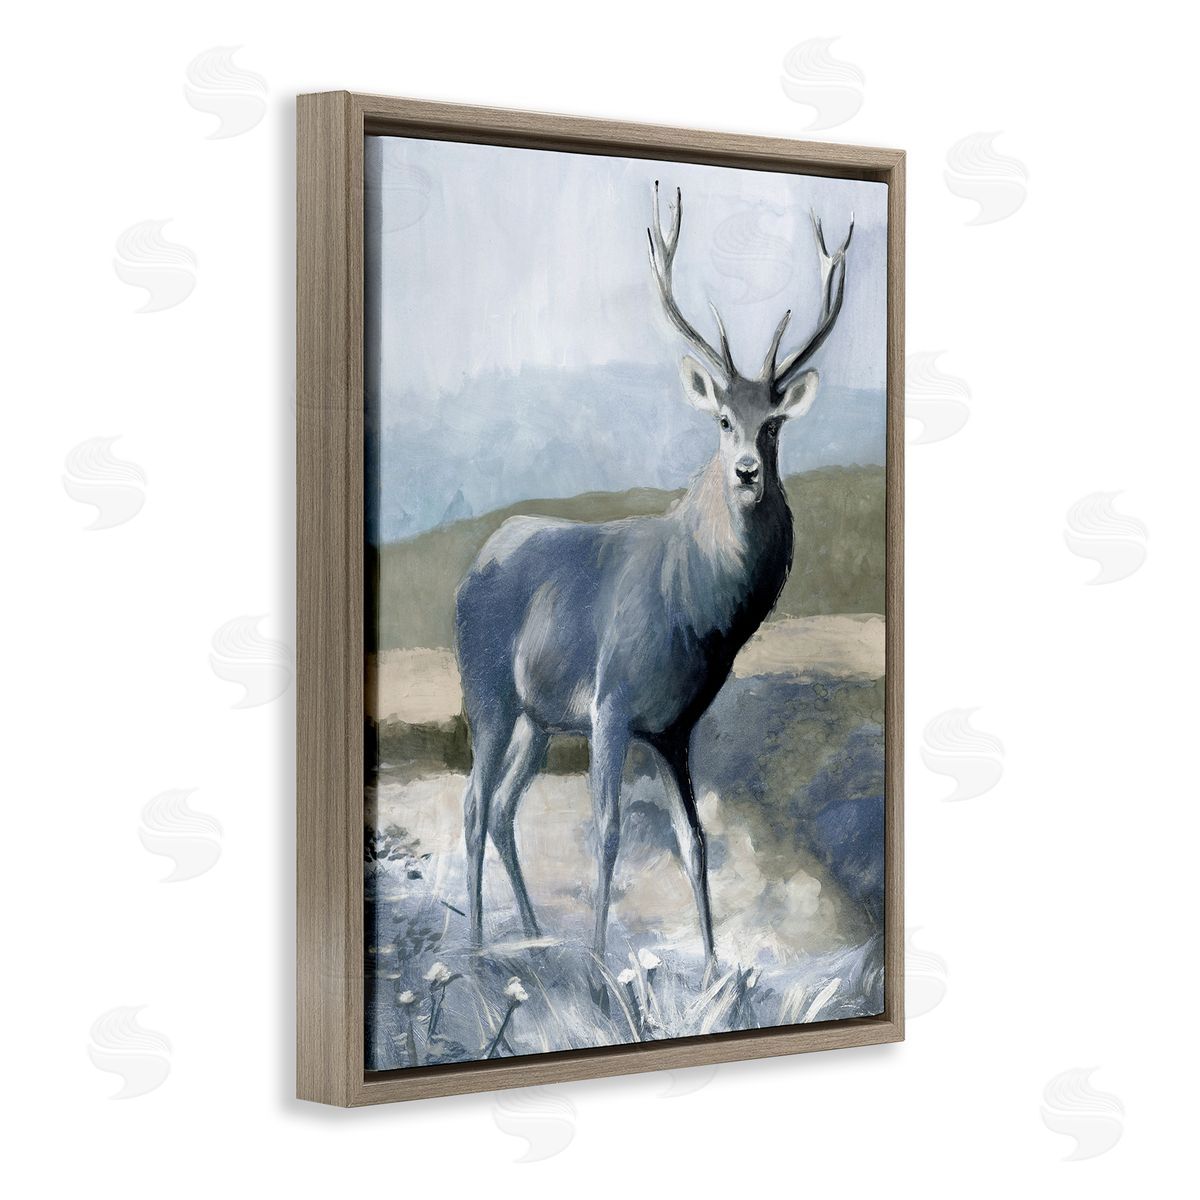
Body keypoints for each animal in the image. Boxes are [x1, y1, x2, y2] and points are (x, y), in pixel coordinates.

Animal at [454, 181, 853, 976]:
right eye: (723, 419)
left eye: (774, 424)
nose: (748, 473)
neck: (695, 617)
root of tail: (474, 565)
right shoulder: (610, 702)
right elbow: (607, 829)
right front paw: (601, 957)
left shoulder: (674, 727)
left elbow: (693, 843)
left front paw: (714, 964)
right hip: (486, 689)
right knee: (476, 805)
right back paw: (481, 944)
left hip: (537, 718)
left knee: (506, 807)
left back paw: (531, 932)